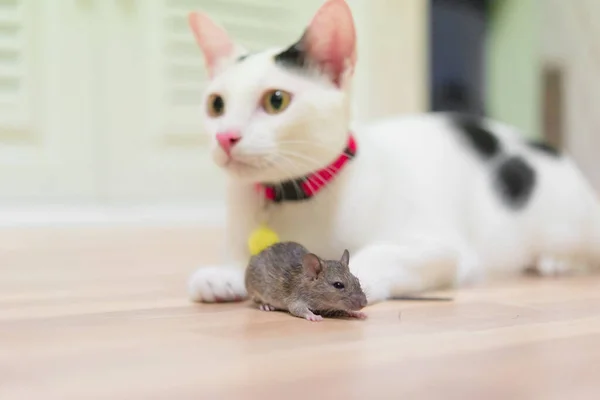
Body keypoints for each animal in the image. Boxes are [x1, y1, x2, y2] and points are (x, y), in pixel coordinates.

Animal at [185, 0, 596, 304]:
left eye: (276, 100)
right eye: (216, 105)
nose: (226, 137)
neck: (293, 195)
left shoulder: (443, 246)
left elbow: (381, 252)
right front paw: (225, 273)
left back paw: (554, 261)